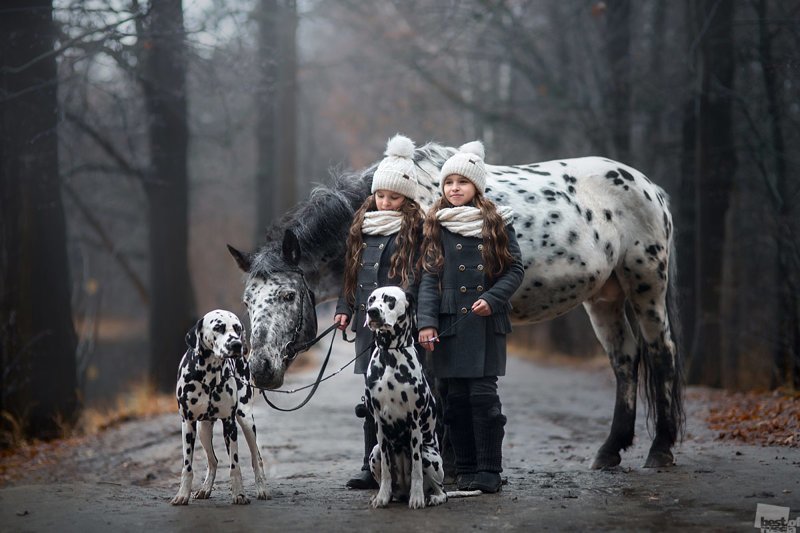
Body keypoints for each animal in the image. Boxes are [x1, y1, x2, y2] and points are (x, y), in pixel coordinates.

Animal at [170, 308, 270, 502]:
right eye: (218, 327)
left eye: (237, 328)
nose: (237, 344)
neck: (208, 377)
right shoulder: (188, 424)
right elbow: (187, 466)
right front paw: (182, 494)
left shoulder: (229, 424)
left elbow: (235, 465)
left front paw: (239, 493)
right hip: (203, 430)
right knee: (213, 461)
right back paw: (205, 489)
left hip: (246, 421)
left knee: (256, 458)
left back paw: (262, 488)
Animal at [228, 142, 684, 470]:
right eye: (248, 301)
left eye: (289, 295)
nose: (261, 368)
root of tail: (649, 188)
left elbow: (438, 391)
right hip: (605, 296)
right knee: (624, 360)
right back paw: (610, 451)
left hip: (646, 283)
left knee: (660, 353)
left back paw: (660, 450)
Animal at [364, 286, 446, 508]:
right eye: (371, 300)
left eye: (390, 300)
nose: (372, 312)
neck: (390, 354)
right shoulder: (379, 423)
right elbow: (386, 467)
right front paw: (382, 496)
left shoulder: (414, 422)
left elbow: (416, 467)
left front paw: (416, 498)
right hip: (374, 451)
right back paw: (388, 495)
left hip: (430, 455)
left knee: (441, 490)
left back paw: (431, 497)